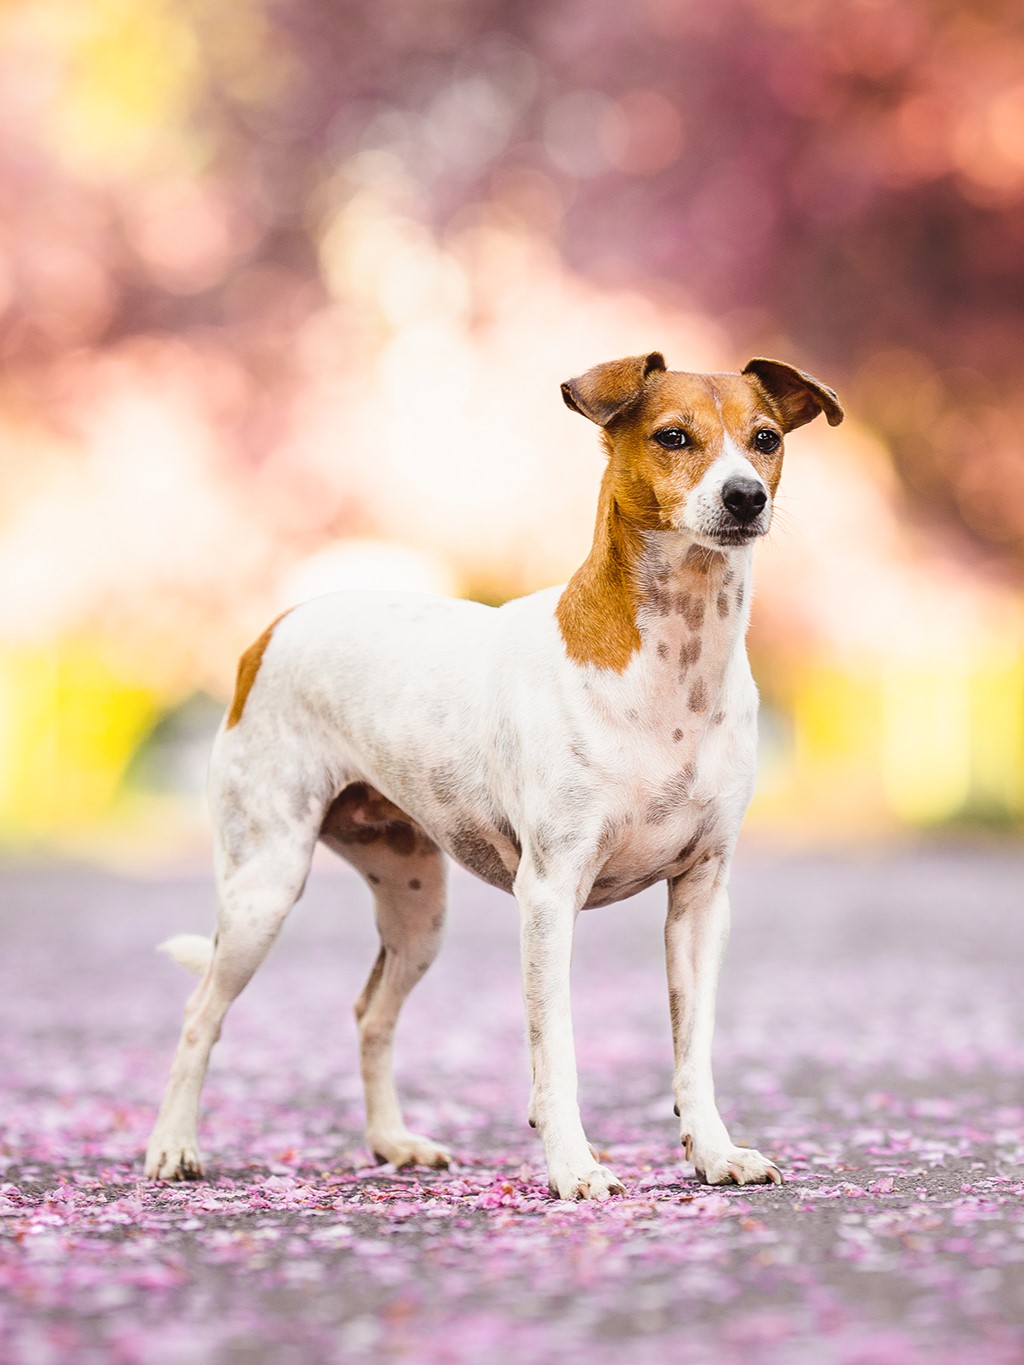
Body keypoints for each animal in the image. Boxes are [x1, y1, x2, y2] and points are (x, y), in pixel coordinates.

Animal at [148, 352, 846, 1195]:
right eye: (673, 437)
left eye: (766, 438)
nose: (745, 496)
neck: (676, 667)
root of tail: (274, 628)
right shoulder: (549, 893)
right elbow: (557, 1050)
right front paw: (574, 1165)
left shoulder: (701, 897)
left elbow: (693, 1049)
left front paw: (714, 1150)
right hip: (263, 887)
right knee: (200, 1013)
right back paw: (173, 1145)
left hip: (417, 908)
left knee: (371, 1011)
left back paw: (393, 1141)